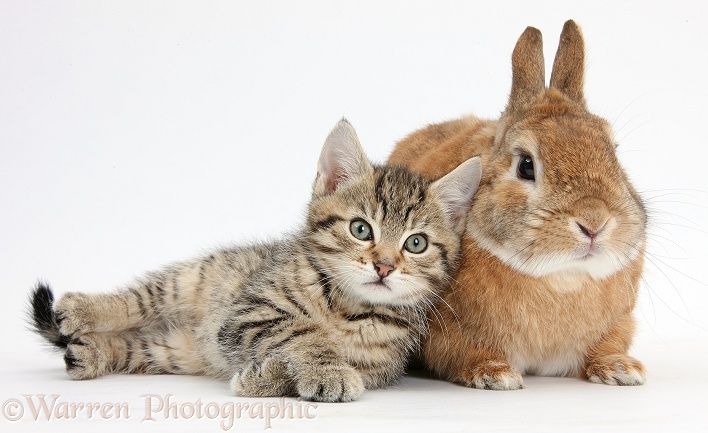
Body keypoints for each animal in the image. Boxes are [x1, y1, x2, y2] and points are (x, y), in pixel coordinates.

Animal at [29, 119, 482, 402]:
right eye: (360, 229)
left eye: (416, 243)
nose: (384, 266)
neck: (346, 307)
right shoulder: (247, 312)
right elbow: (304, 332)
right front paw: (325, 371)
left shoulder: (380, 364)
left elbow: (318, 356)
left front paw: (263, 377)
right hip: (193, 278)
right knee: (137, 300)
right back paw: (82, 310)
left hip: (174, 350)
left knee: (137, 344)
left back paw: (89, 353)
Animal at [388, 20, 648, 388]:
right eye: (526, 165)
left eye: (613, 150)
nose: (594, 222)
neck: (561, 277)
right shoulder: (449, 332)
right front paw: (495, 374)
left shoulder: (617, 323)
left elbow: (606, 346)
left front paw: (621, 369)